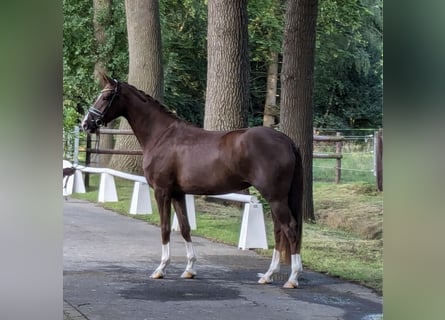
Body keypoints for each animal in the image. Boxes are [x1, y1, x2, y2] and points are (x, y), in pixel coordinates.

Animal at [81, 74, 304, 288]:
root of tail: (287, 141)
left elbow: (164, 228)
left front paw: (161, 269)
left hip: (275, 197)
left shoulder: (162, 191)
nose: (86, 123)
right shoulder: (178, 193)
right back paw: (268, 275)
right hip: (276, 198)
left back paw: (292, 278)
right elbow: (185, 227)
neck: (161, 135)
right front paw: (189, 269)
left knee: (290, 229)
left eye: (106, 97)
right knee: (279, 231)